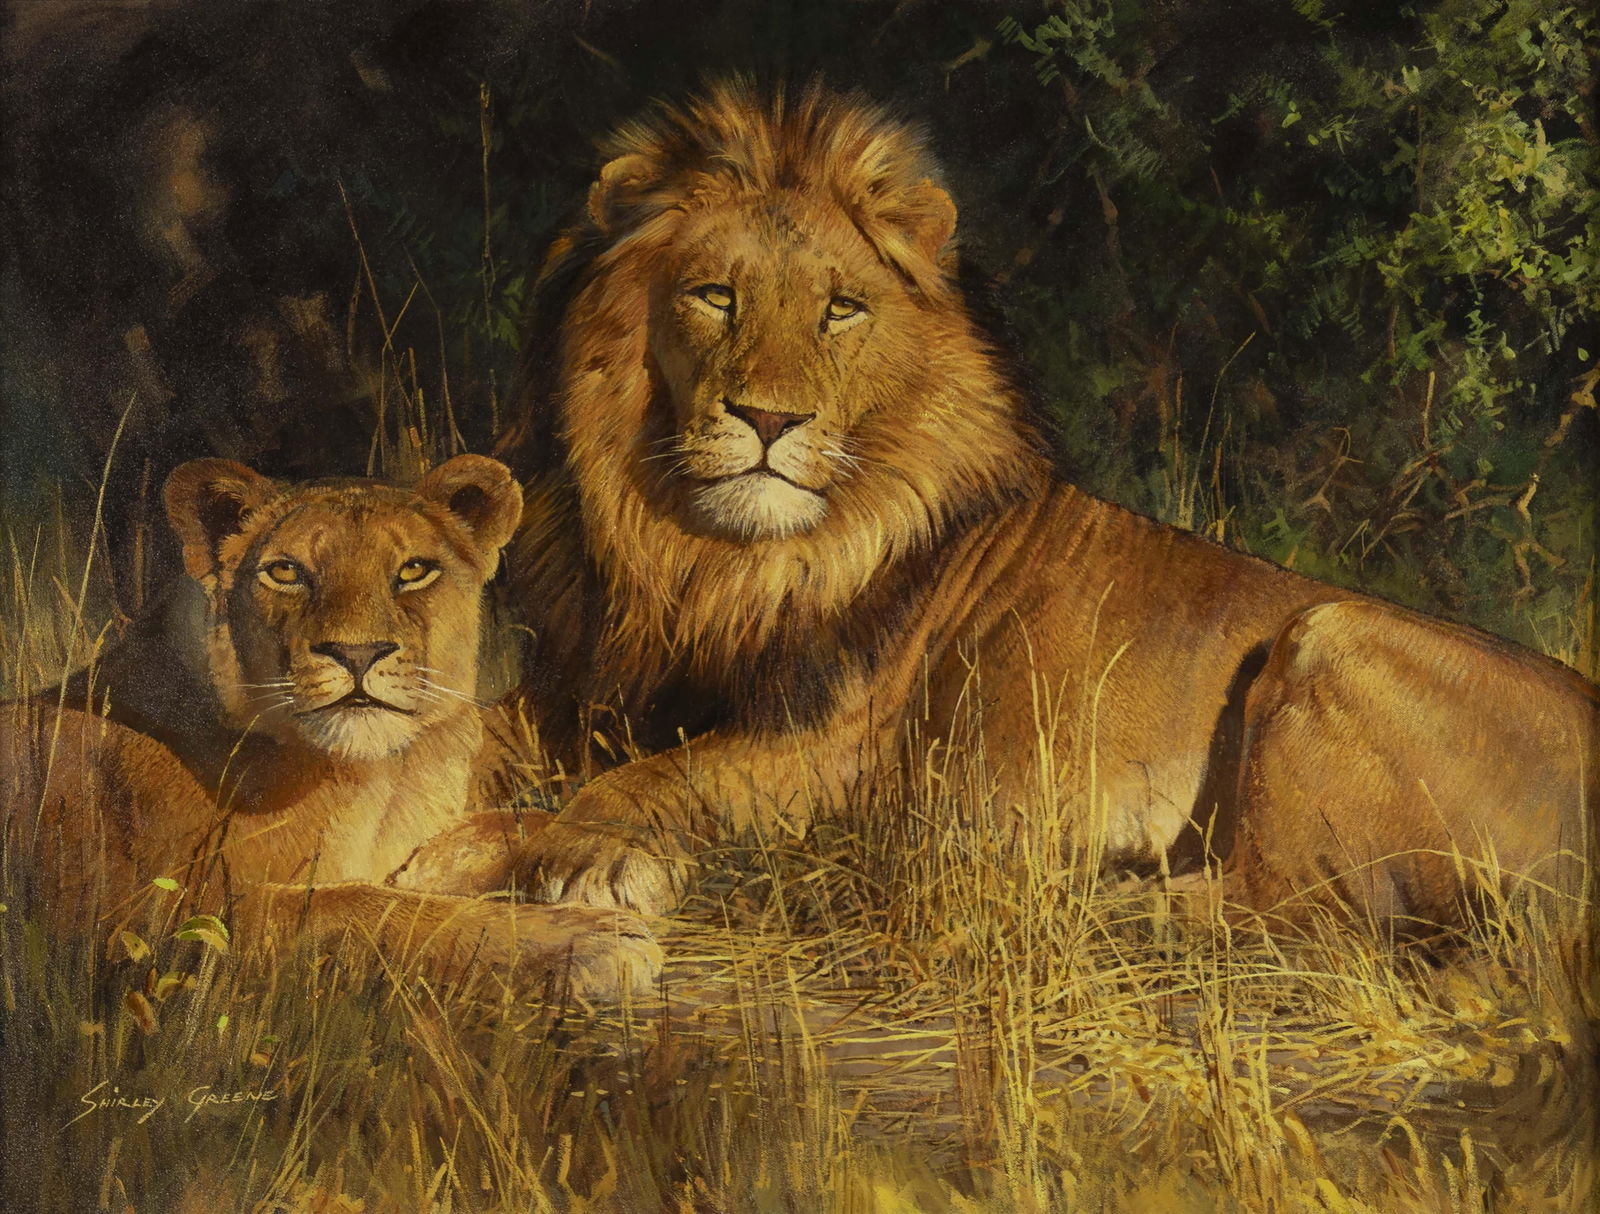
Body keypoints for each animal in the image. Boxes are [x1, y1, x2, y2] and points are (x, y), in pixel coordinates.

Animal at [2, 455, 660, 998]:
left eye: (414, 570)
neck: (379, 776)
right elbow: (369, 911)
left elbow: (513, 821)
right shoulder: (153, 919)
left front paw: (608, 860)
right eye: (287, 572)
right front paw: (587, 941)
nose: (358, 652)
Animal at [496, 82, 1597, 937]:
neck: (703, 557)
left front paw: (583, 848)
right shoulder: (587, 689)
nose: (768, 417)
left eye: (841, 308)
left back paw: (1068, 890)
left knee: (1295, 908)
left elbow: (675, 775)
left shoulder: (847, 748)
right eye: (714, 296)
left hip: (1328, 636)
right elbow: (486, 721)